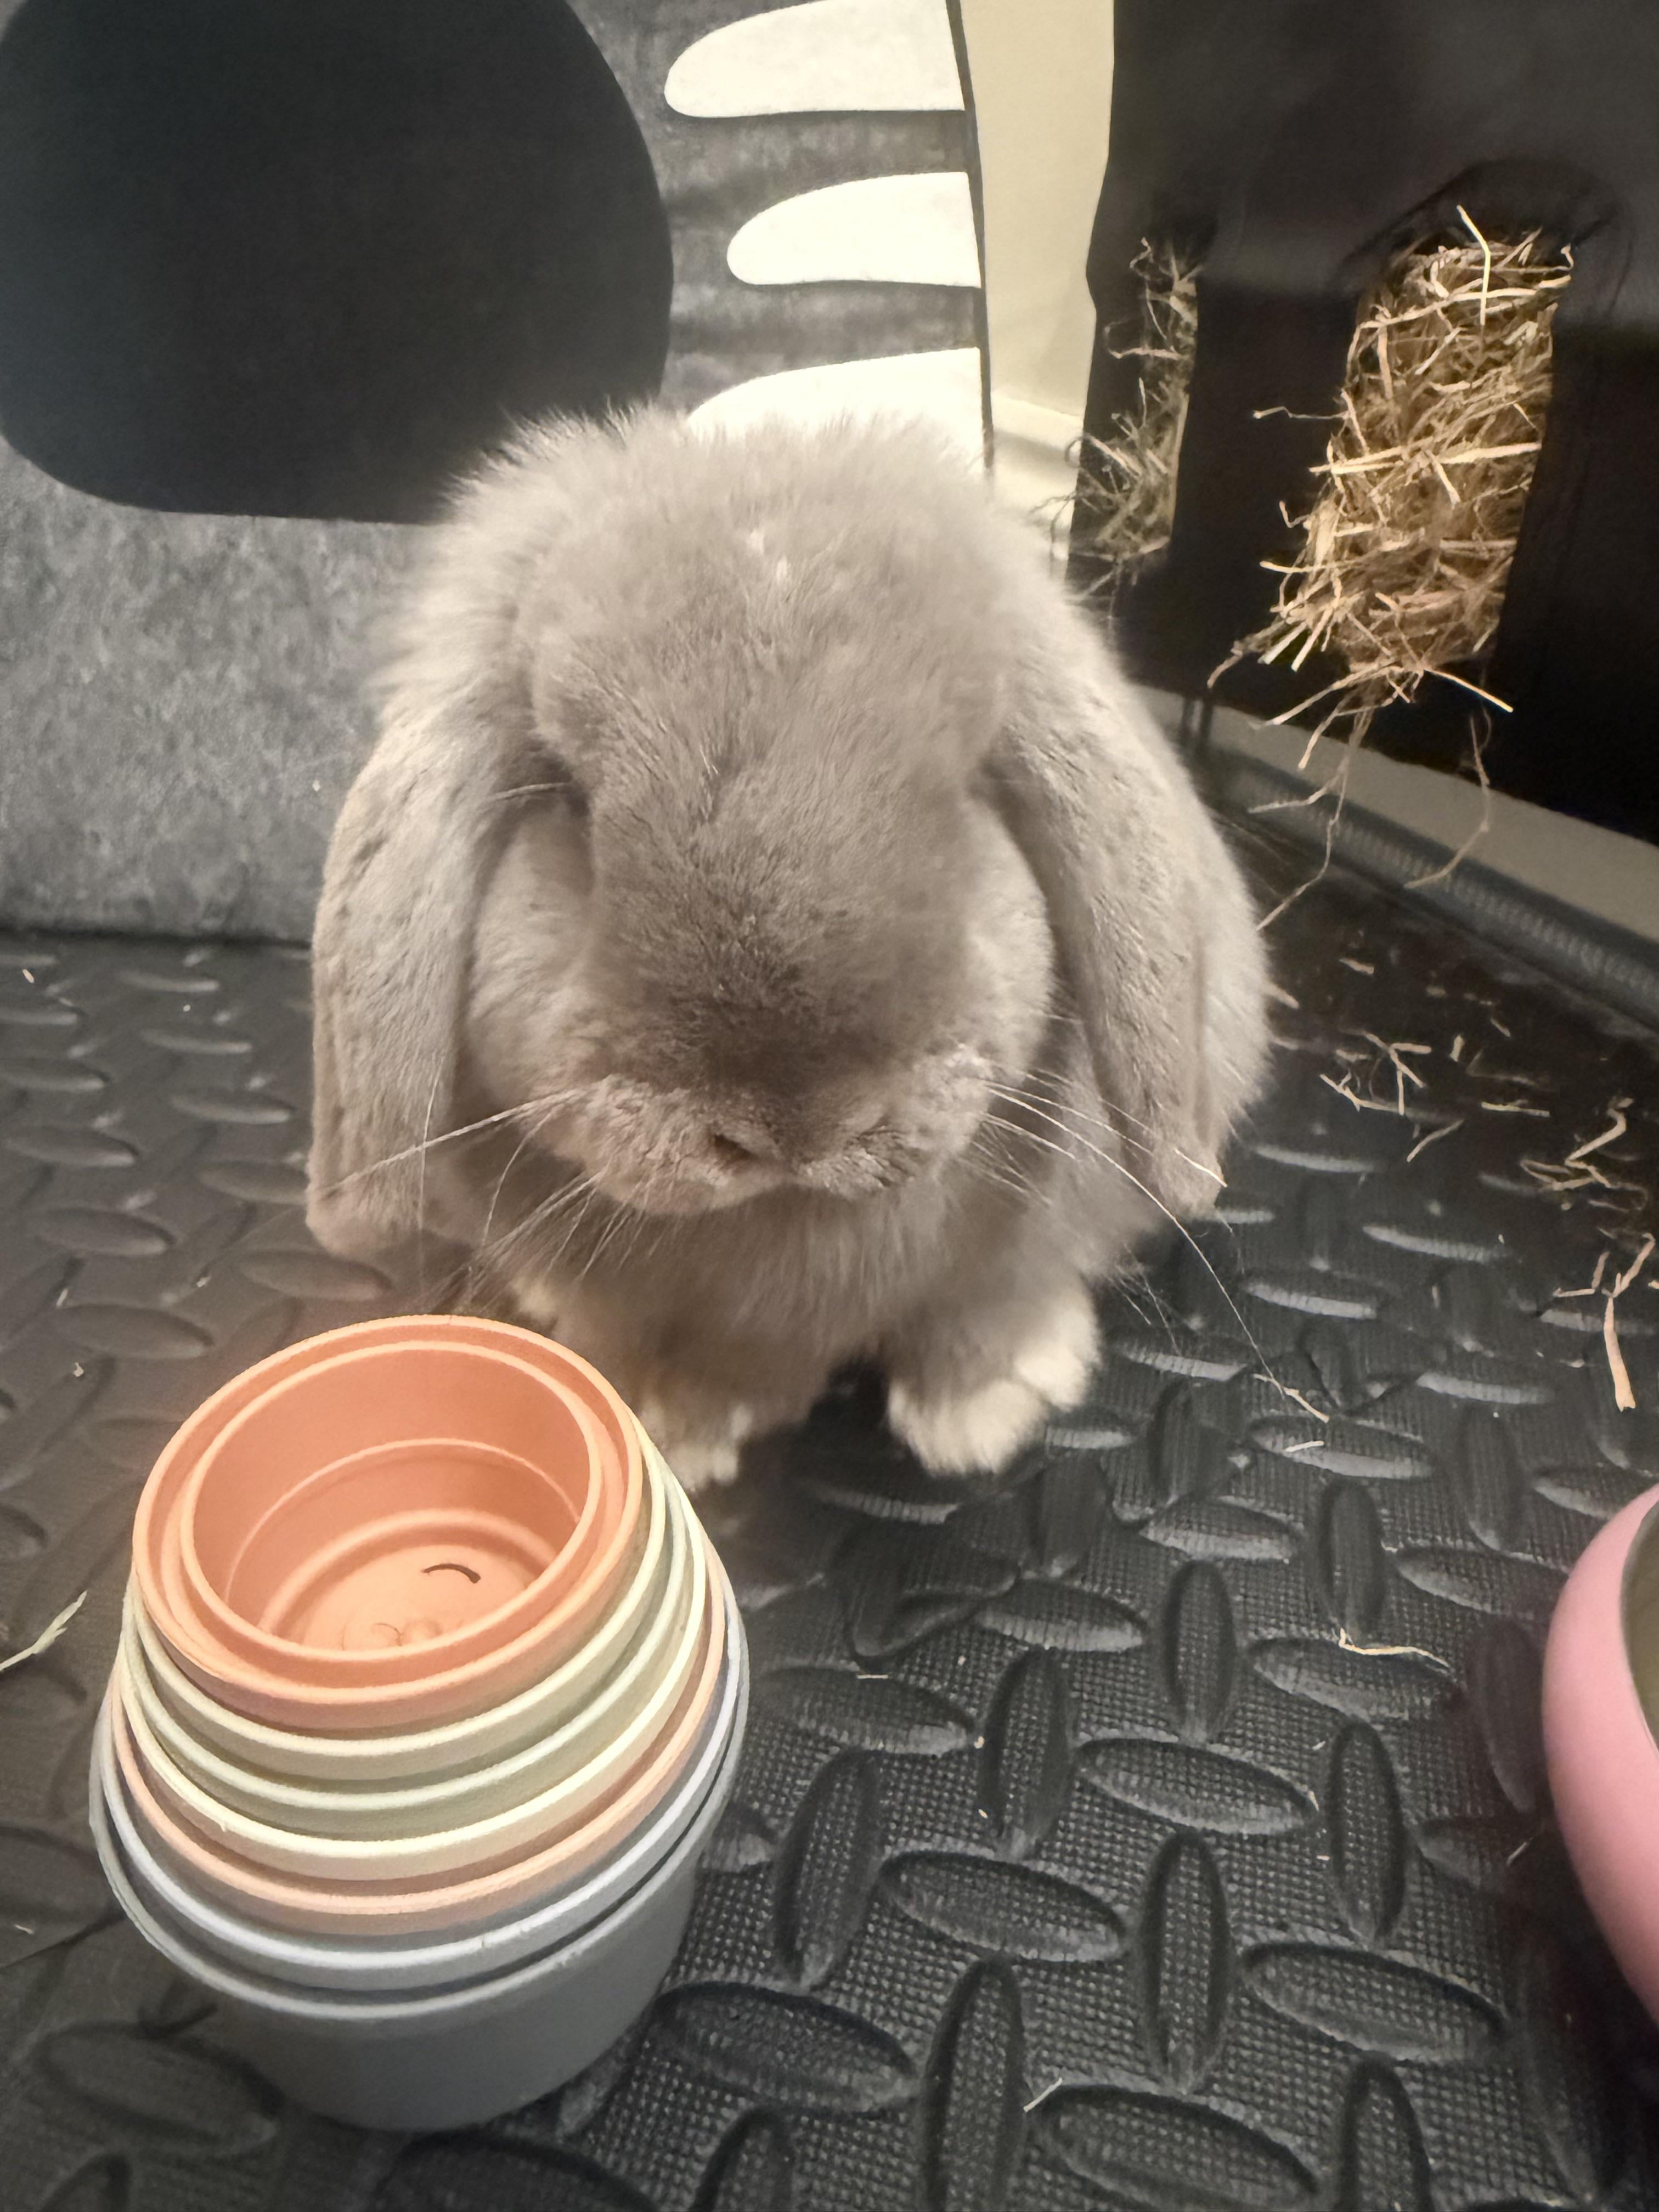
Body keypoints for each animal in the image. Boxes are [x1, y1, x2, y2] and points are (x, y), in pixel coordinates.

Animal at [307, 409, 1270, 1488]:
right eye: (569, 798)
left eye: (974, 787)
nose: (796, 1124)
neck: (790, 1220)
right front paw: (677, 1435)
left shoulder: (1002, 1263)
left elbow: (977, 1321)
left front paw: (978, 1419)